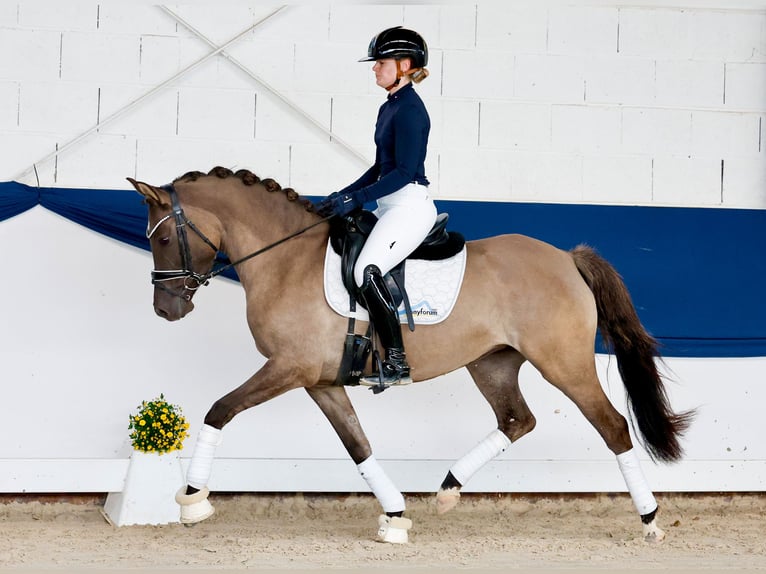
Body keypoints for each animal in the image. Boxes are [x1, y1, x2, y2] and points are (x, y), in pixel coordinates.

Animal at [128, 166, 693, 544]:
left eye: (163, 236)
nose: (165, 309)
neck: (285, 259)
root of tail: (567, 257)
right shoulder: (319, 380)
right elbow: (357, 445)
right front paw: (396, 516)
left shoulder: (287, 369)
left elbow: (219, 409)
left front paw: (192, 501)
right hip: (492, 362)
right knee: (517, 419)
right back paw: (447, 489)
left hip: (565, 363)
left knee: (612, 426)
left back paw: (651, 521)